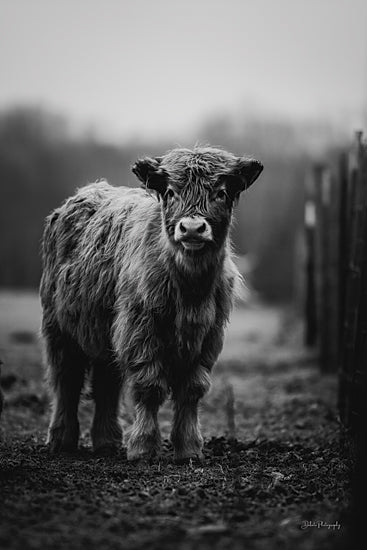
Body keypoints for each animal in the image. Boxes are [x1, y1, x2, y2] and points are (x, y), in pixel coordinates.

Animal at [39, 146, 264, 462]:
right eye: (170, 192)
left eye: (220, 193)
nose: (192, 228)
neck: (190, 291)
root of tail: (86, 192)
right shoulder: (139, 330)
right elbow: (149, 387)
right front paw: (144, 447)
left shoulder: (208, 337)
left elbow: (192, 390)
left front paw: (189, 448)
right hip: (58, 327)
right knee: (66, 379)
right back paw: (61, 440)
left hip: (105, 331)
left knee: (106, 382)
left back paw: (107, 441)